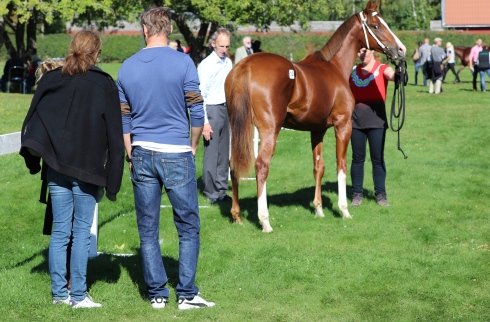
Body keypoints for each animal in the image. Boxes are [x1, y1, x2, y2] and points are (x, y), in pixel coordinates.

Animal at [224, 0, 404, 231]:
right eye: (375, 26)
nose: (401, 49)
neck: (334, 67)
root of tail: (245, 66)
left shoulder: (317, 130)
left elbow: (319, 166)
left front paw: (318, 209)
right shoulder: (343, 125)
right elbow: (341, 165)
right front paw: (344, 210)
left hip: (237, 127)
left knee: (233, 165)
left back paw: (237, 215)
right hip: (269, 130)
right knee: (261, 166)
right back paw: (265, 220)